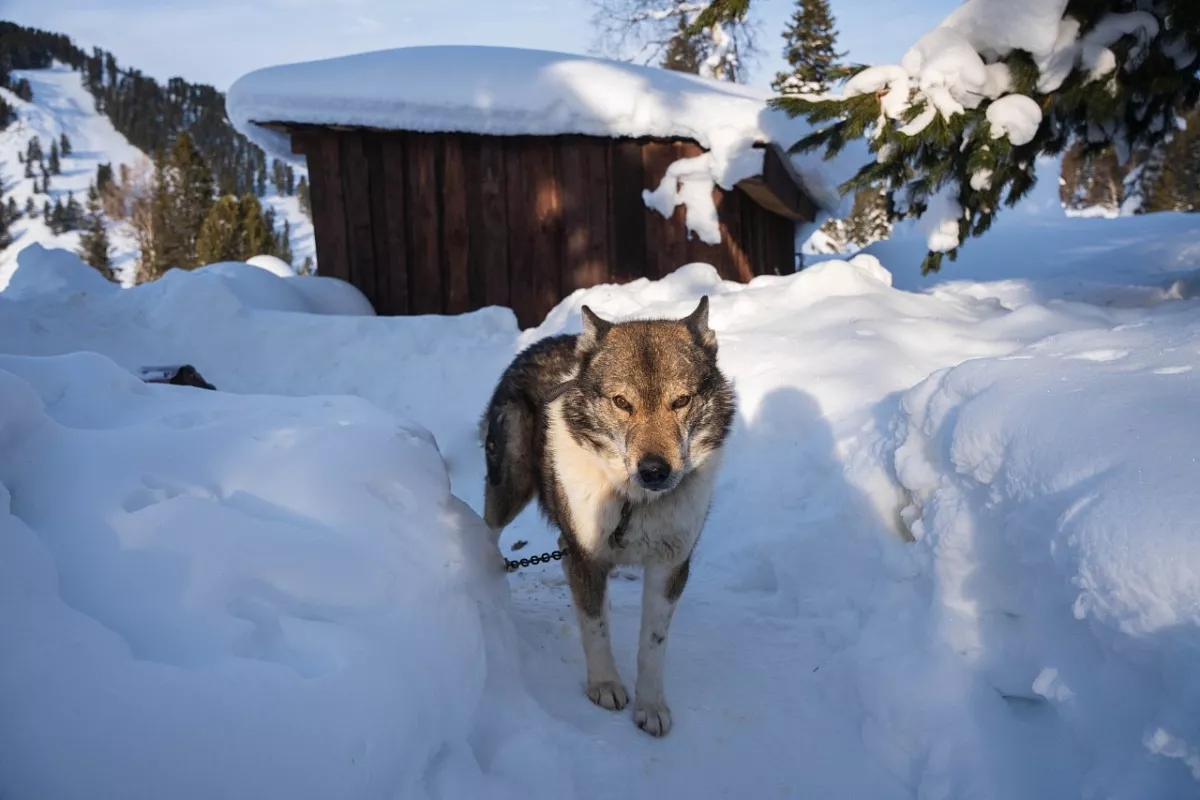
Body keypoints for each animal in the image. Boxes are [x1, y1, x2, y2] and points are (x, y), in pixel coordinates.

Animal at [479, 296, 735, 737]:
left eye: (680, 401)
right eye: (621, 403)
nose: (654, 471)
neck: (634, 501)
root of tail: (544, 342)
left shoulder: (670, 566)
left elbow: (653, 645)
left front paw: (651, 707)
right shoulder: (584, 556)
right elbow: (595, 627)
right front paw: (604, 686)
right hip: (510, 480)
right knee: (490, 525)